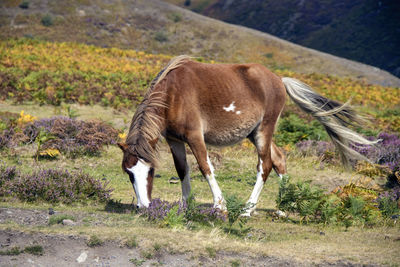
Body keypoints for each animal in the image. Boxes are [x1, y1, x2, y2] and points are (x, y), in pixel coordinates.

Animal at [118, 56, 376, 216]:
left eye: (150, 171)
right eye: (129, 174)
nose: (143, 206)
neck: (173, 93)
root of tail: (278, 80)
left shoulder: (194, 137)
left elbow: (205, 167)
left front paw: (219, 206)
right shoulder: (174, 140)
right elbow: (183, 170)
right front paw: (186, 205)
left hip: (263, 131)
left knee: (265, 165)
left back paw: (247, 209)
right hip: (254, 133)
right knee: (279, 159)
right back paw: (283, 206)